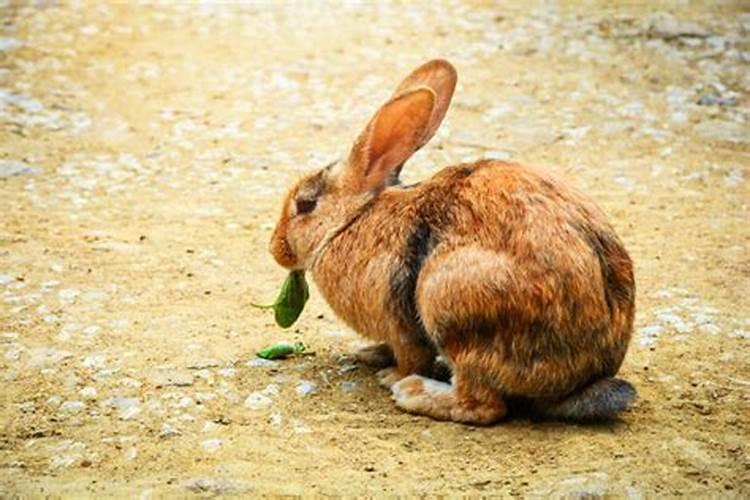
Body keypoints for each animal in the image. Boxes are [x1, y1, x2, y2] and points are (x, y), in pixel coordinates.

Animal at [270, 59, 636, 426]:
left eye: (305, 205)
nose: (276, 249)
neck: (353, 219)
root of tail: (581, 380)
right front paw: (371, 354)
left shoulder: (402, 329)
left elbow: (411, 355)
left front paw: (391, 375)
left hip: (450, 307)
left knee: (484, 405)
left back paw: (413, 392)